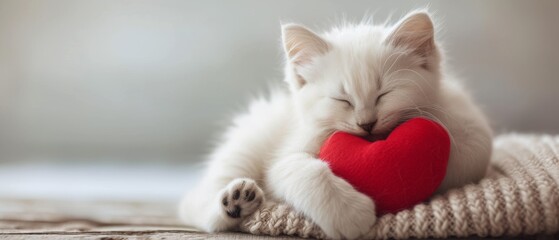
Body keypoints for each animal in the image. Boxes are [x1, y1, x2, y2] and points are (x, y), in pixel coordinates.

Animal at [179, 10, 490, 239]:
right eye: (343, 99)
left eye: (384, 94)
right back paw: (236, 200)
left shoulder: (472, 130)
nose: (367, 123)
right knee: (199, 206)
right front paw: (351, 215)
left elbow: (466, 153)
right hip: (245, 146)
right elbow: (302, 171)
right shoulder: (287, 155)